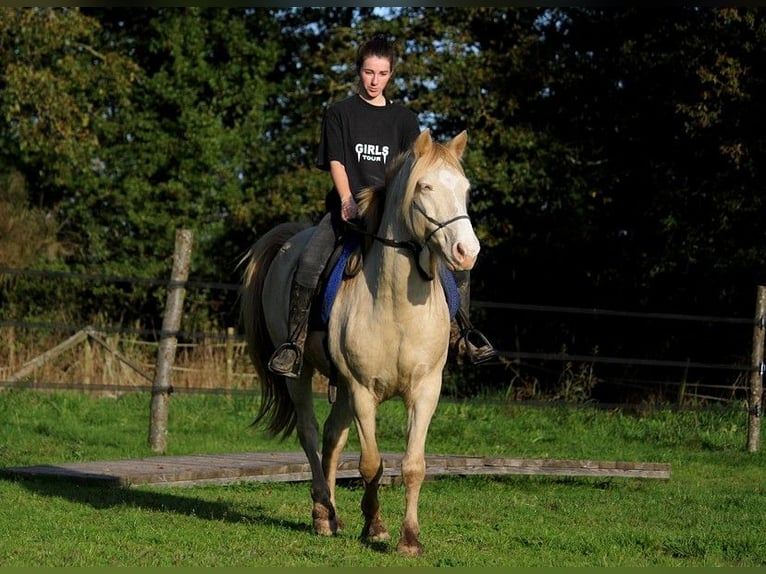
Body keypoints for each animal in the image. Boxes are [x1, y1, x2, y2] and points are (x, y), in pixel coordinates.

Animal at [240, 130, 480, 560]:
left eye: (466, 190)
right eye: (425, 186)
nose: (467, 252)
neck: (396, 304)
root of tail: (290, 241)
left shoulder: (425, 389)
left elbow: (413, 464)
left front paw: (409, 539)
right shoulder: (363, 389)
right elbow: (371, 464)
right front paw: (376, 527)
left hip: (343, 387)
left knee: (333, 437)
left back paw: (333, 515)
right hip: (302, 375)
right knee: (310, 433)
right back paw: (322, 513)